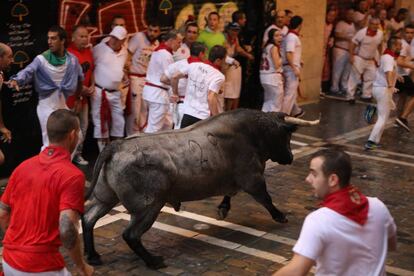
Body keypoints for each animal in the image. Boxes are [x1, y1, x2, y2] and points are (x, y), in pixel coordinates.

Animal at [81, 109, 320, 270]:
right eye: (286, 136)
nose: (290, 158)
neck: (252, 134)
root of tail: (116, 145)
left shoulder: (233, 180)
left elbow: (229, 194)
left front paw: (223, 209)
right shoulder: (253, 179)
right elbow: (266, 199)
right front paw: (280, 216)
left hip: (106, 197)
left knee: (88, 219)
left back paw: (93, 256)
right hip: (148, 206)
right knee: (130, 234)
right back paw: (154, 261)